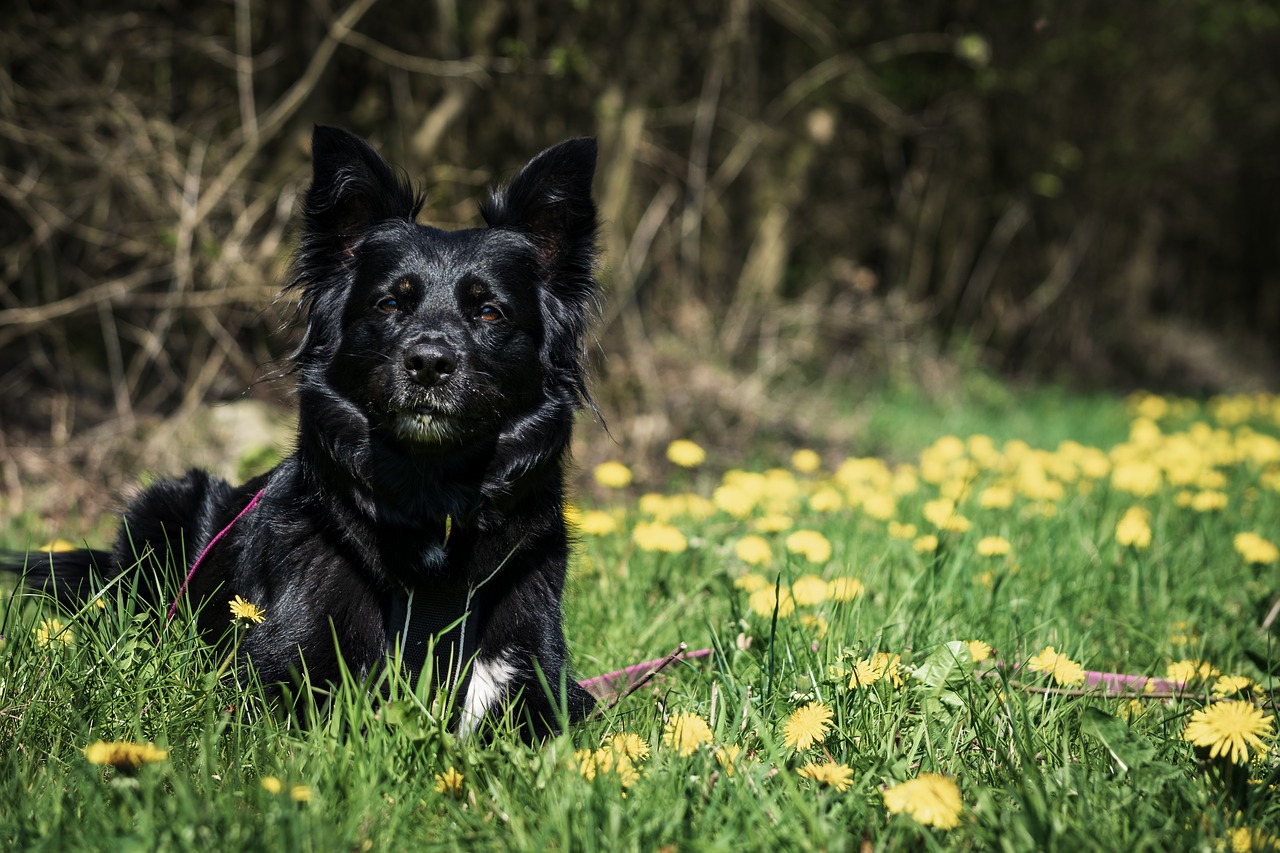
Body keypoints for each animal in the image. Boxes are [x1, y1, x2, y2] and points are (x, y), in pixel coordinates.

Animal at [11, 126, 599, 737]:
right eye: (390, 303)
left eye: (489, 313)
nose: (430, 363)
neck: (429, 498)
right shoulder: (279, 673)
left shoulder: (545, 681)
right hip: (162, 507)